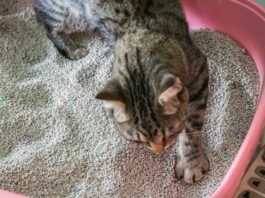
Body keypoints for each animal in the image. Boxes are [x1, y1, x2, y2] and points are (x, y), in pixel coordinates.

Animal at [34, 0, 208, 183]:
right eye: (140, 141)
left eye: (169, 134)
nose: (159, 151)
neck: (140, 31)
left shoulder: (199, 70)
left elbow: (192, 125)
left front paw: (191, 163)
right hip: (67, 11)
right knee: (46, 21)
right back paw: (72, 49)